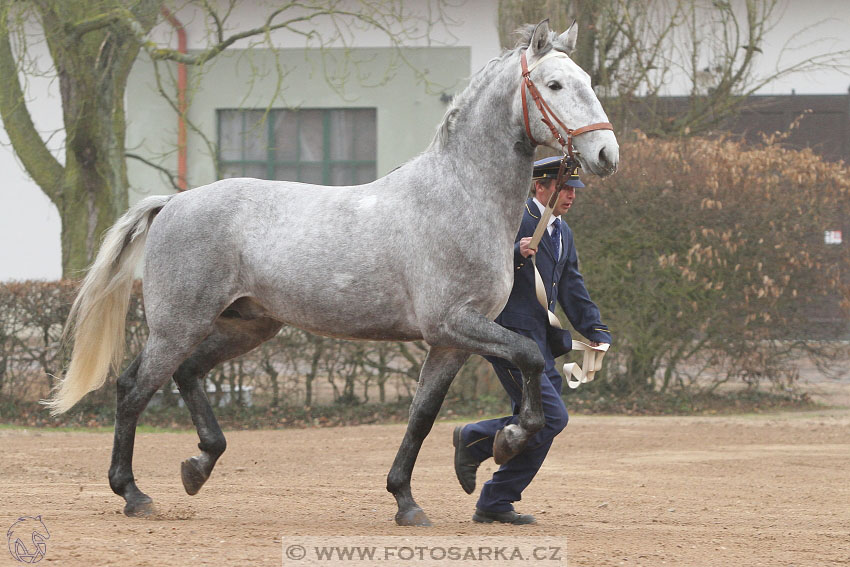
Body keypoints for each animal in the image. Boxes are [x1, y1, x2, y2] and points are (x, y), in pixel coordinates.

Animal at [48, 22, 616, 528]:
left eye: (587, 80)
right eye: (554, 84)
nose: (606, 154)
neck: (459, 196)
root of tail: (172, 202)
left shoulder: (451, 342)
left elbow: (423, 417)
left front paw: (411, 499)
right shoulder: (453, 324)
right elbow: (529, 355)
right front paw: (507, 442)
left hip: (248, 325)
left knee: (186, 374)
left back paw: (198, 464)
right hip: (177, 325)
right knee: (133, 388)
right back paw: (133, 493)